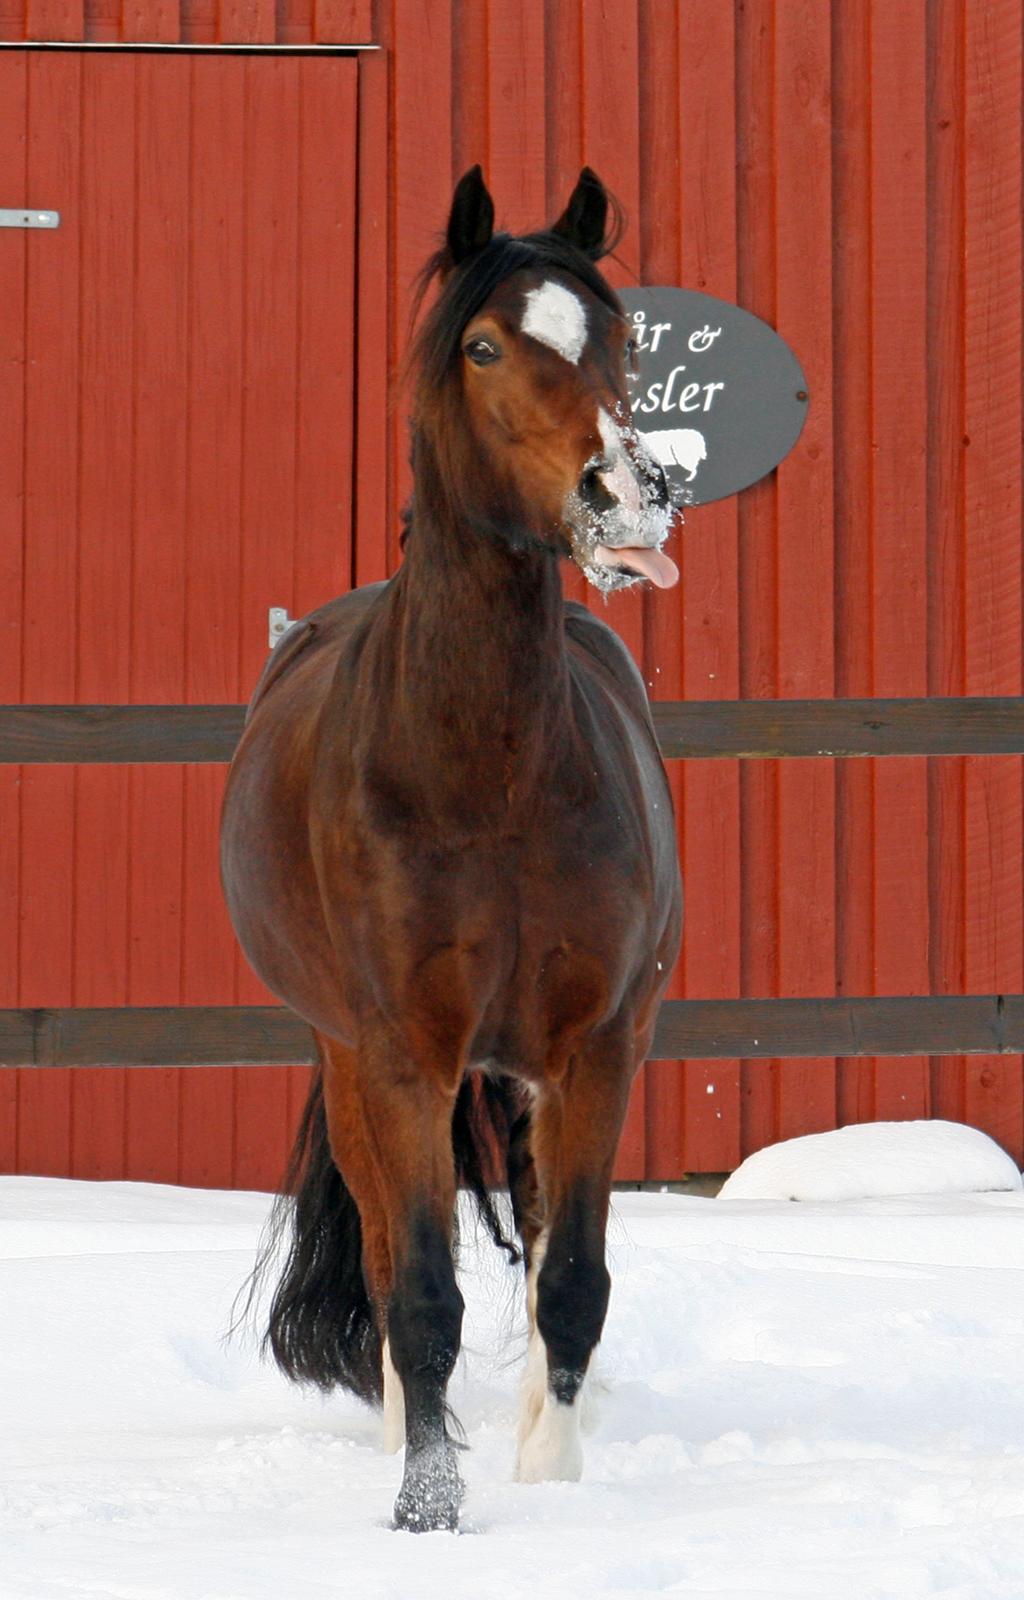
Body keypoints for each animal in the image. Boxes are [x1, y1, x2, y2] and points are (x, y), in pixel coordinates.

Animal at [220, 165, 683, 1533]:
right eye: (482, 346)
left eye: (620, 339)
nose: (627, 495)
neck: (489, 775)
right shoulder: (399, 1057)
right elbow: (420, 1288)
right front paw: (429, 1506)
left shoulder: (599, 1047)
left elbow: (571, 1278)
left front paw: (553, 1480)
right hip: (351, 1065)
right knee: (383, 1255)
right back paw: (393, 1434)